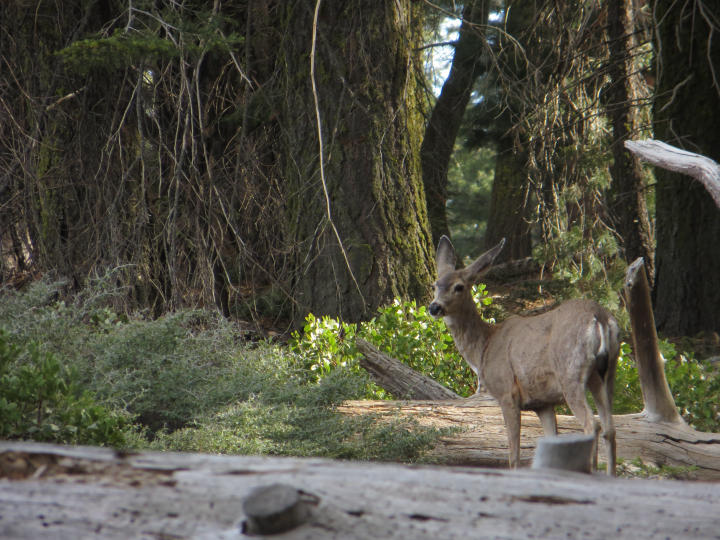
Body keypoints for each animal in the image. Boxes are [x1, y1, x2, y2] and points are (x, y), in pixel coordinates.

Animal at [428, 238, 620, 474]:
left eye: (459, 286)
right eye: (435, 285)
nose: (434, 307)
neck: (484, 347)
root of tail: (600, 318)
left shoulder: (507, 393)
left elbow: (514, 455)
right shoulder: (542, 403)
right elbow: (550, 437)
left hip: (570, 371)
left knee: (592, 424)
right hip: (606, 372)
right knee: (610, 428)